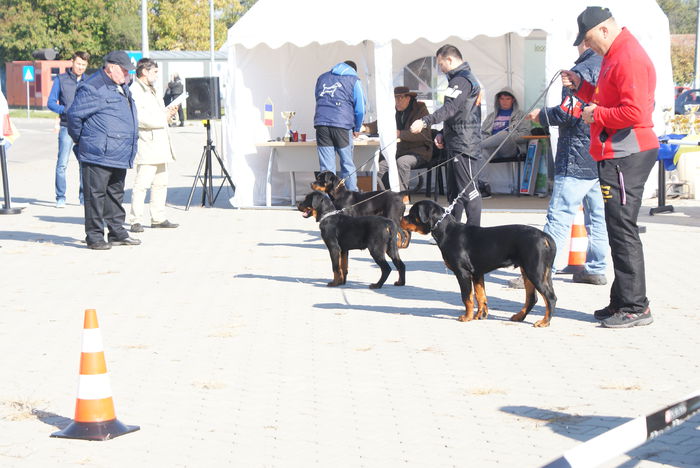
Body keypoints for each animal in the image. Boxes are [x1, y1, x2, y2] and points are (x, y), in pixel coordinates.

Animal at [400, 199, 556, 328]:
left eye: (412, 213)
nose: (400, 219)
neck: (446, 231)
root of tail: (545, 237)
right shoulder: (477, 273)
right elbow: (480, 296)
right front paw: (480, 315)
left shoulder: (463, 273)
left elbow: (467, 297)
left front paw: (467, 317)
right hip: (531, 272)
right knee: (532, 298)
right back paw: (519, 316)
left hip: (534, 271)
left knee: (550, 298)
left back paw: (544, 322)